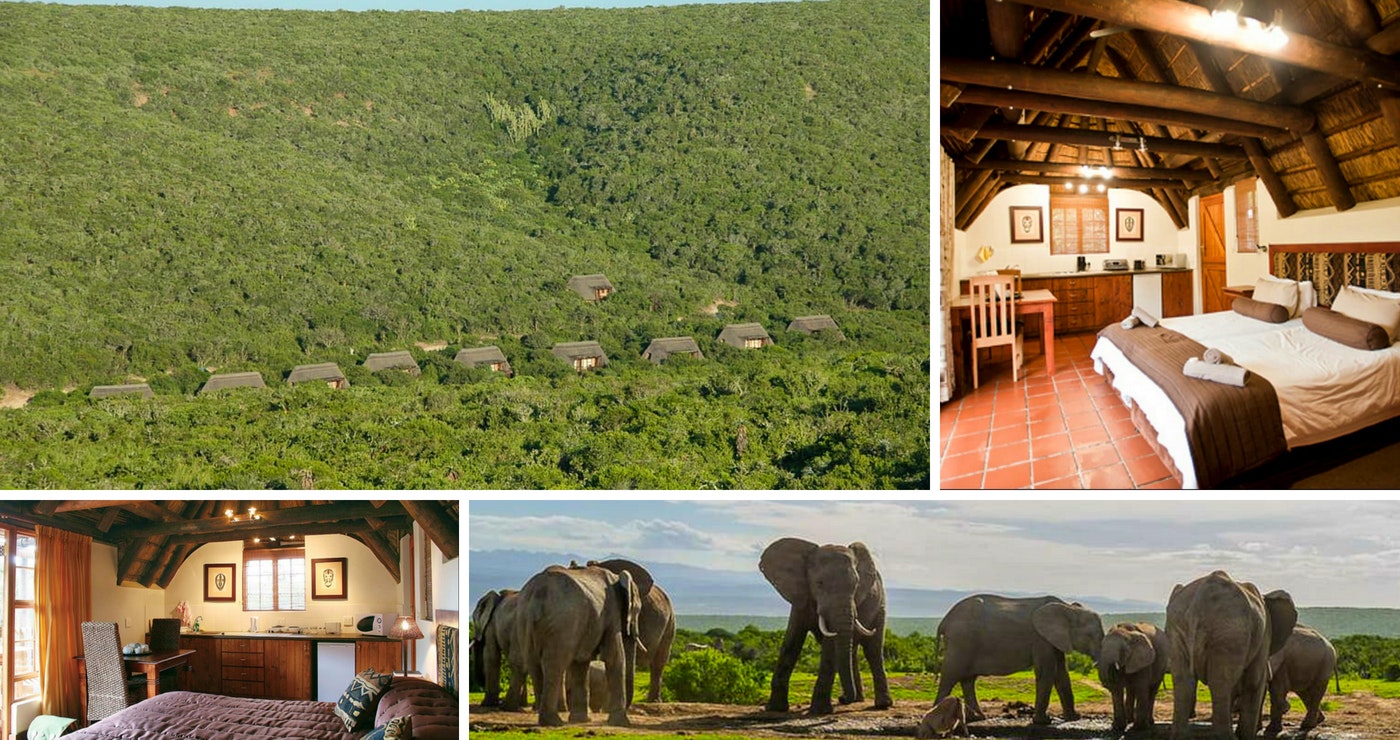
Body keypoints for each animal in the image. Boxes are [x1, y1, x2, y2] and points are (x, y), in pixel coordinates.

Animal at [514, 564, 642, 727]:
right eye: (638, 610)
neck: (617, 577)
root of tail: (536, 595)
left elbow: (581, 663)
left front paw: (581, 720)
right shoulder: (611, 612)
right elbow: (615, 657)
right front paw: (621, 723)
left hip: (523, 621)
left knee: (534, 665)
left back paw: (546, 721)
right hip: (563, 623)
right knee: (554, 664)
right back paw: (554, 722)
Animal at [759, 537, 892, 715]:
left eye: (856, 585)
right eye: (819, 583)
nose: (843, 699)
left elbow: (830, 647)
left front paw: (820, 711)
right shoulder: (801, 596)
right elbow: (791, 641)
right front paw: (775, 709)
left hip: (880, 605)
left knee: (873, 650)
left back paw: (881, 704)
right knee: (853, 651)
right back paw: (856, 699)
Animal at [935, 594, 1104, 725]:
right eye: (1090, 635)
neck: (1067, 608)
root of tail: (944, 621)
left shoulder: (1054, 640)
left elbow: (1062, 673)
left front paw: (1074, 718)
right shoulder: (1040, 639)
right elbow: (1047, 672)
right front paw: (1043, 722)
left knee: (968, 680)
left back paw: (978, 718)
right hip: (960, 641)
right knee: (949, 677)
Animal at [1165, 570, 1297, 740]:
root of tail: (1199, 601)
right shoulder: (1265, 633)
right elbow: (1254, 682)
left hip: (1177, 627)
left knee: (1184, 681)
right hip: (1230, 630)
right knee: (1222, 683)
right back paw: (1228, 737)